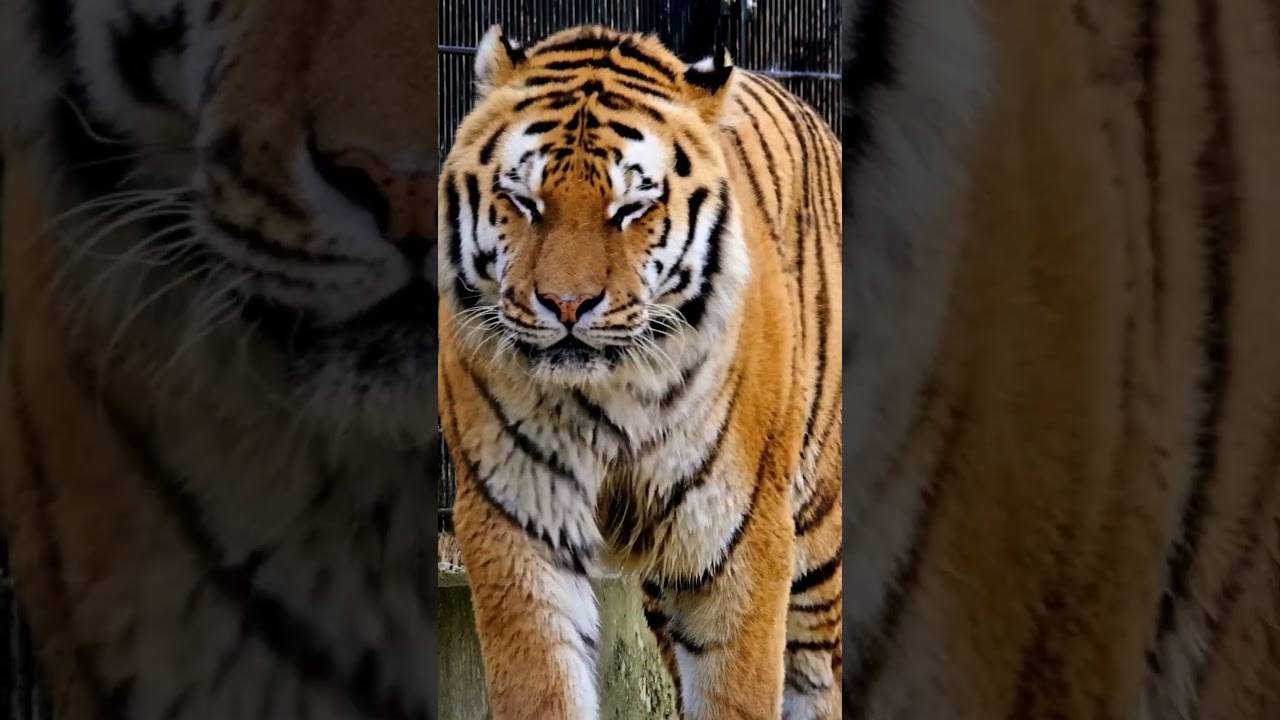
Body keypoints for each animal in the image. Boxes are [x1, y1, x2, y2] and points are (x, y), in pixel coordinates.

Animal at [438, 24, 843, 720]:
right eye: (524, 202)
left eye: (630, 208)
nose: (566, 305)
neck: (609, 392)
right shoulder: (517, 517)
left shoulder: (738, 532)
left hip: (819, 530)